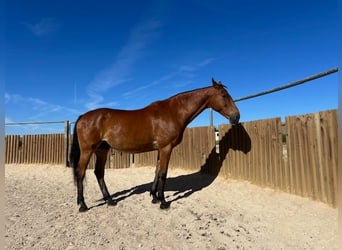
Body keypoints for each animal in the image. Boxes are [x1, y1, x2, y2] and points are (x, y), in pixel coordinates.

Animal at [69, 77, 240, 211]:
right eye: (224, 95)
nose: (236, 116)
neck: (172, 112)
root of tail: (83, 116)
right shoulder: (166, 148)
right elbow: (163, 173)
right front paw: (163, 202)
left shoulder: (160, 149)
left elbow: (157, 171)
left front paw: (154, 197)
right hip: (87, 150)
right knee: (80, 173)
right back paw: (83, 205)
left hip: (102, 150)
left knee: (99, 173)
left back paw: (110, 200)